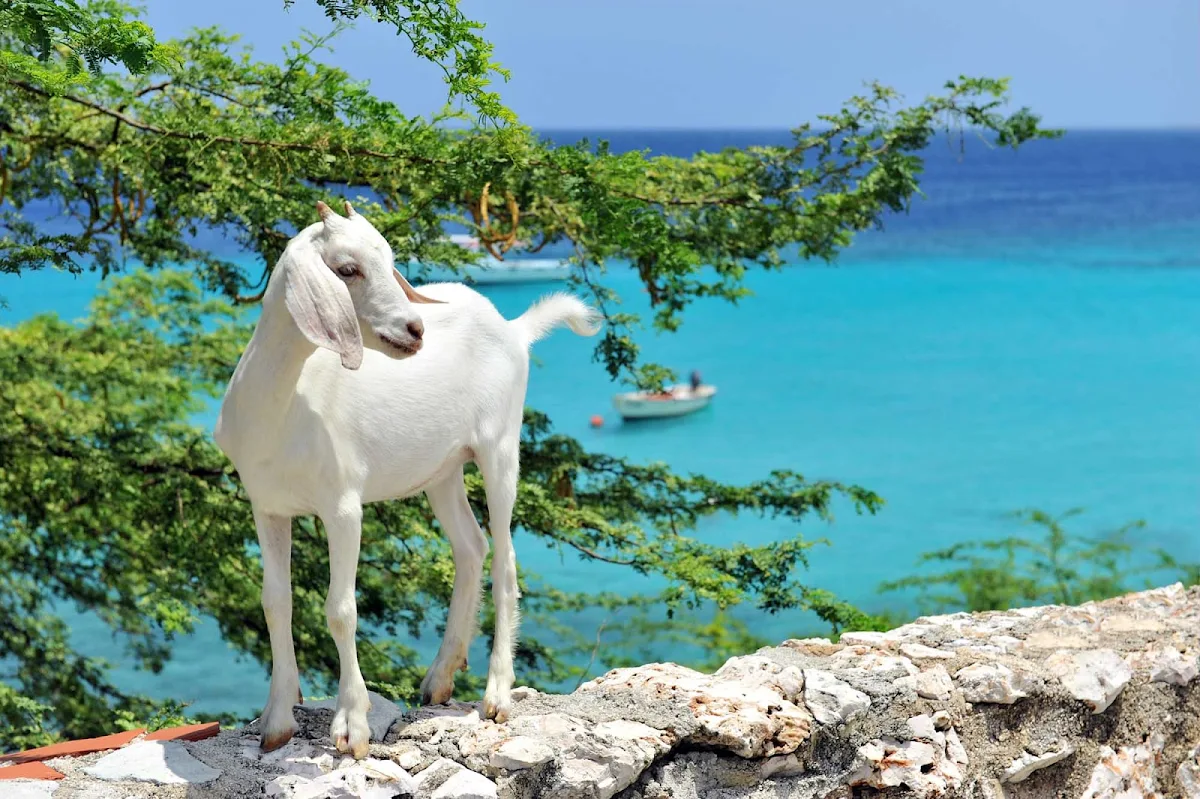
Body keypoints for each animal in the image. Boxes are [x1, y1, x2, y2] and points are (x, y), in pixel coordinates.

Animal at [213, 201, 600, 758]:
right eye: (347, 268)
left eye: (390, 261)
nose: (415, 329)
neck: (284, 407)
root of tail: (513, 328)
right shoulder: (267, 507)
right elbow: (274, 603)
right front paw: (276, 721)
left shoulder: (342, 506)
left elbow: (340, 609)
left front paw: (351, 725)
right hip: (443, 470)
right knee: (471, 546)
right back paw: (440, 677)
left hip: (500, 446)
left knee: (505, 561)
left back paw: (497, 695)